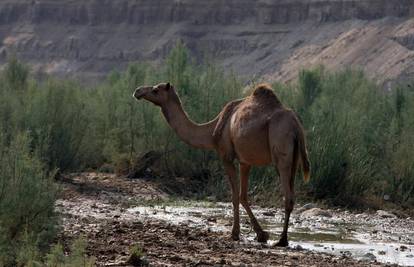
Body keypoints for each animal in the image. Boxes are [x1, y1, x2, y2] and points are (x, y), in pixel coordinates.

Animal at [133, 82, 310, 247]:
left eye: (155, 90)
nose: (137, 91)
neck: (212, 131)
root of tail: (296, 127)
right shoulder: (244, 161)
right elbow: (243, 196)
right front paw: (261, 234)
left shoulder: (226, 155)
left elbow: (234, 195)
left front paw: (235, 234)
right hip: (294, 159)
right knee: (291, 194)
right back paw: (282, 238)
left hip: (281, 151)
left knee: (287, 196)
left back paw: (282, 240)